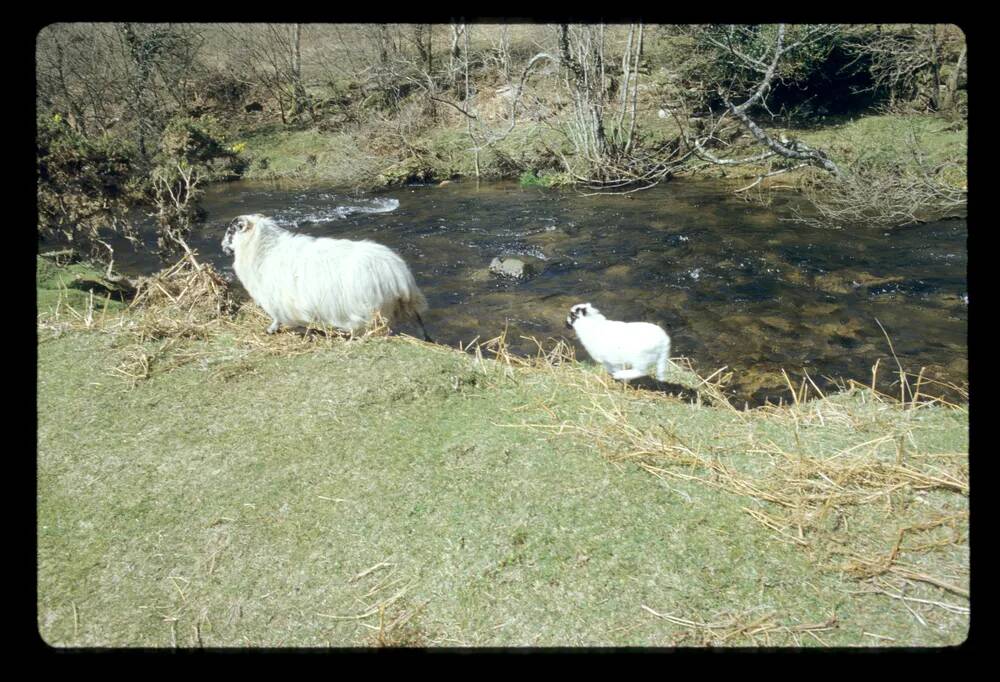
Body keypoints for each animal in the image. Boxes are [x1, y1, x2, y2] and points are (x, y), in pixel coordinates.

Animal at [223, 212, 430, 340]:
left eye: (230, 231)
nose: (222, 246)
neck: (263, 250)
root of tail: (398, 274)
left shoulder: (276, 299)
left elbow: (277, 317)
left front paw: (272, 329)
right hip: (407, 306)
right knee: (420, 325)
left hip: (373, 311)